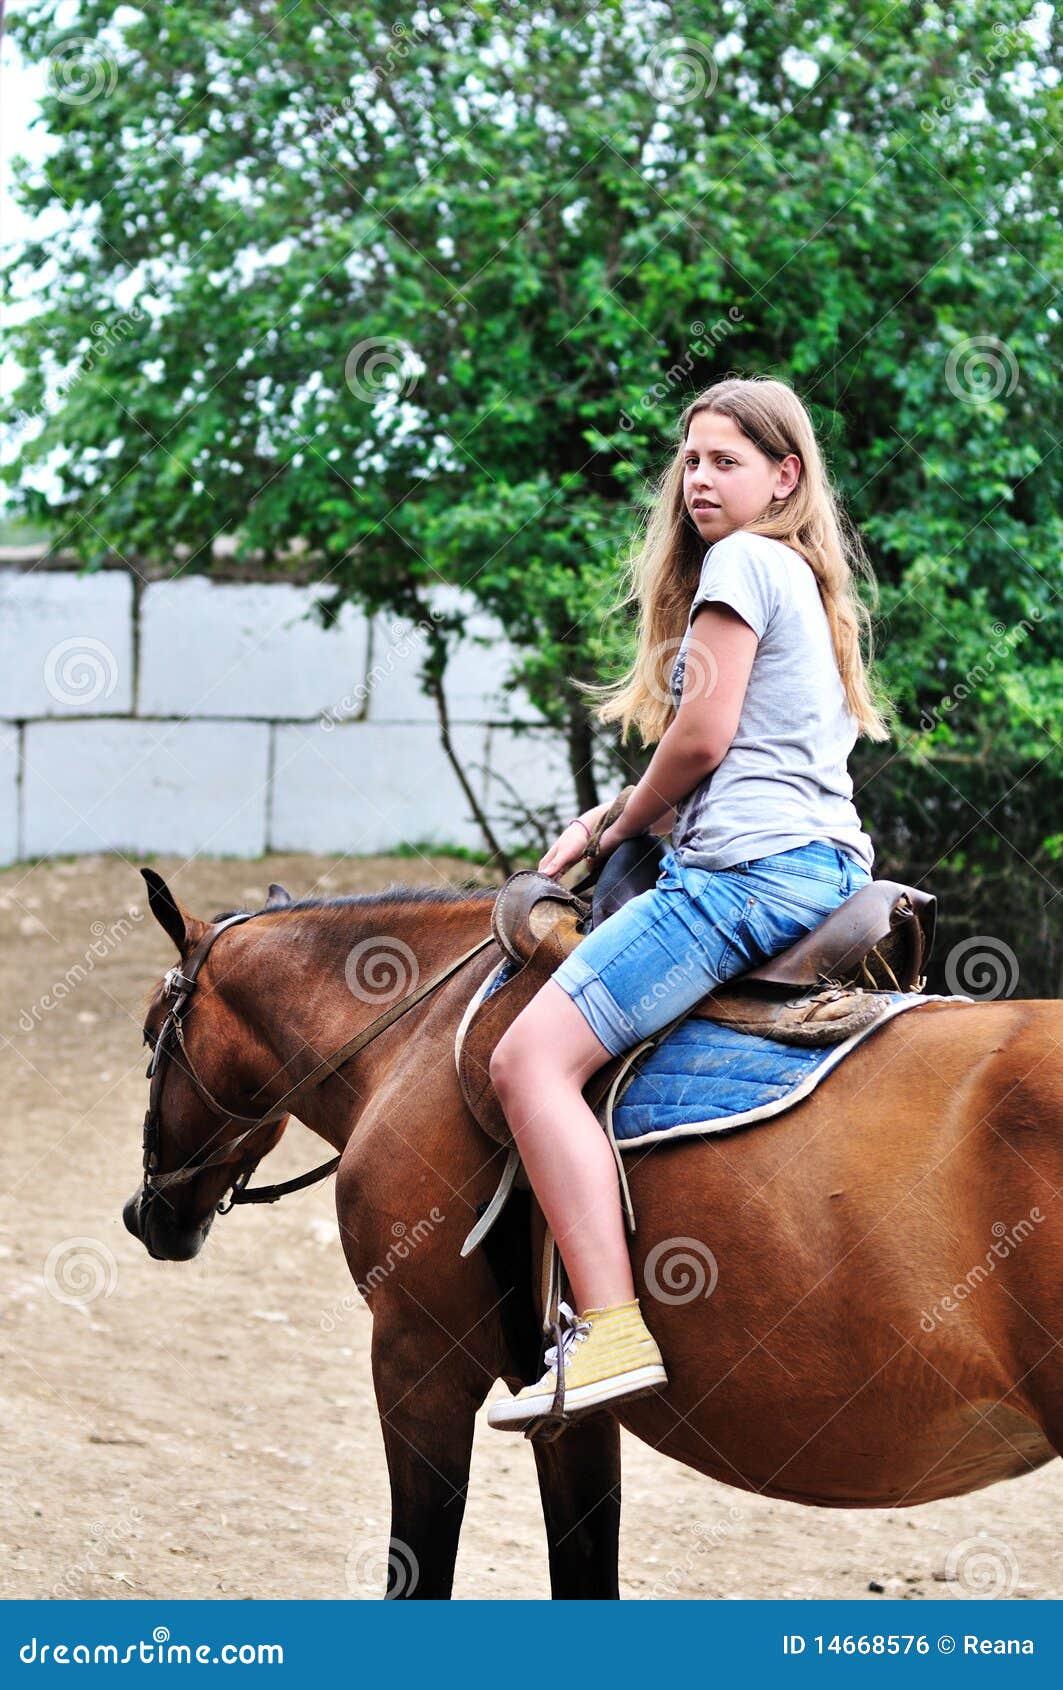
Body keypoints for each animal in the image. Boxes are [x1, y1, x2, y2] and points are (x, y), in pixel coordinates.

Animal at [124, 872, 1061, 1595]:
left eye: (150, 1036)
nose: (145, 1215)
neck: (422, 1036)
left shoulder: (417, 1360)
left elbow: (421, 1571)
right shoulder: (567, 1409)